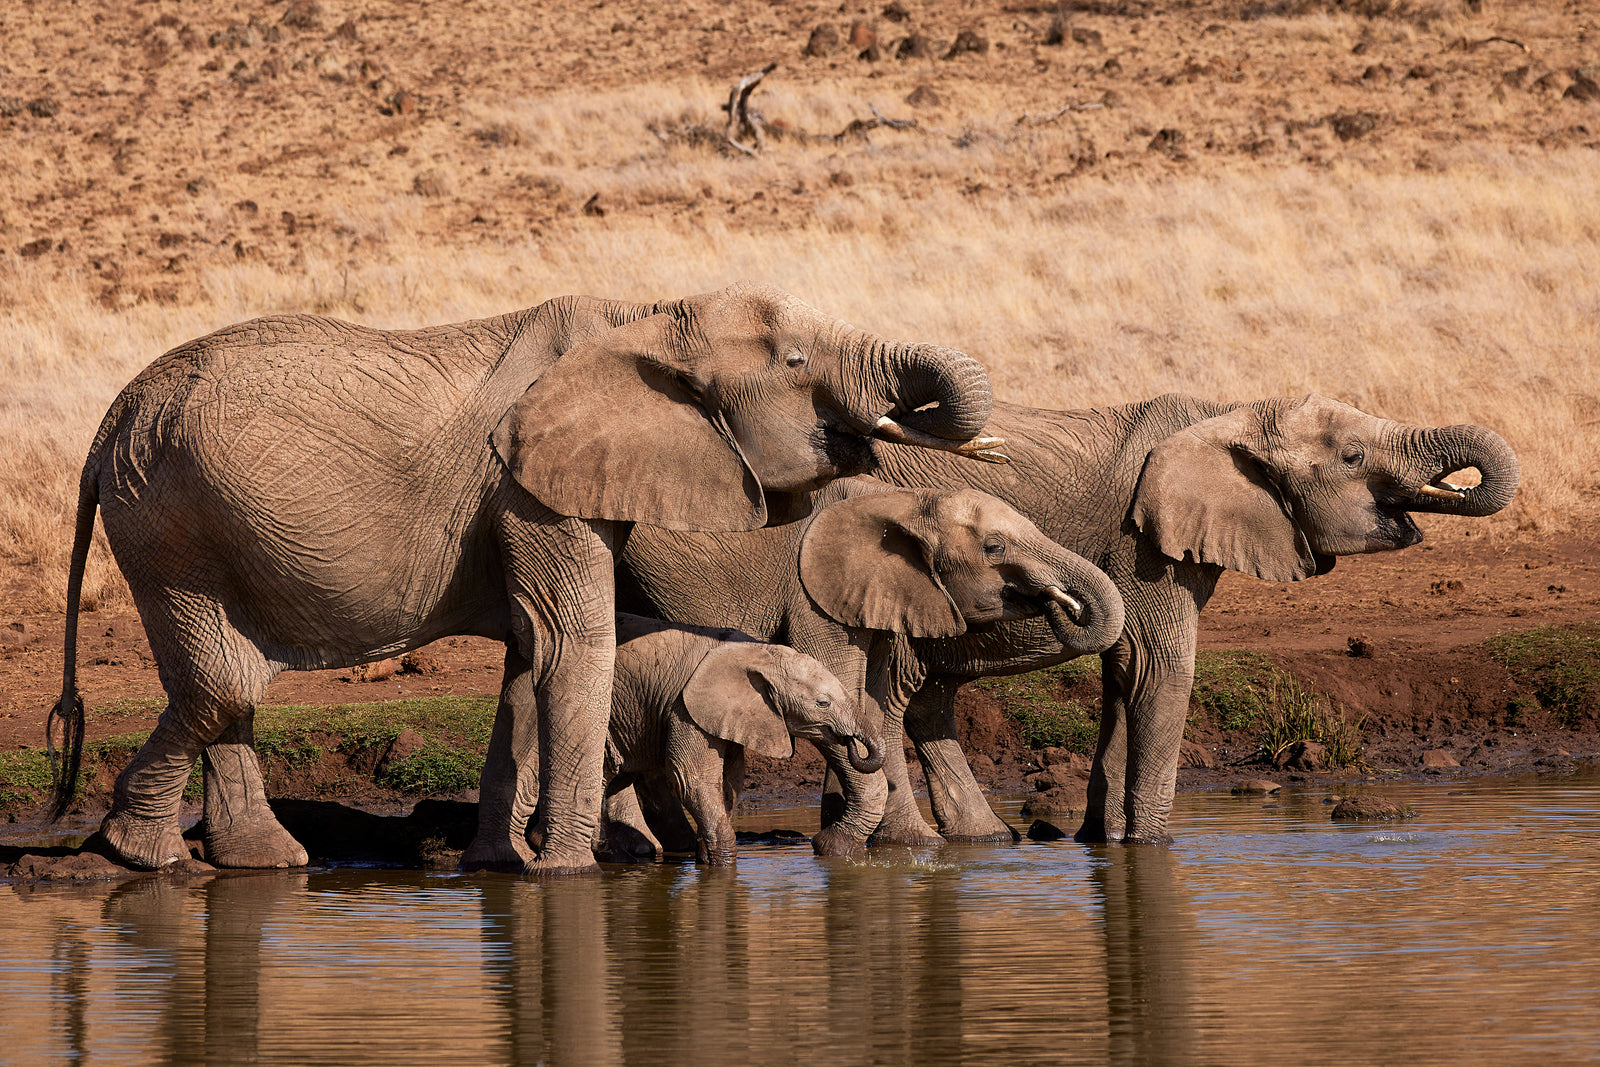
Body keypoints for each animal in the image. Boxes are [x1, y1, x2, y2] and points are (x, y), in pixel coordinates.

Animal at [597, 613, 870, 866]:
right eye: (823, 703)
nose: (851, 743)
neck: (760, 654)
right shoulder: (684, 708)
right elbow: (690, 779)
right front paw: (722, 866)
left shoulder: (730, 715)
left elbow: (729, 782)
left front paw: (706, 860)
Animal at [853, 392, 1519, 844]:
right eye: (1353, 456)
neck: (1230, 414)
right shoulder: (1145, 544)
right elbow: (1161, 667)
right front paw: (1152, 847)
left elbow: (1125, 676)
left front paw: (1103, 841)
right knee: (888, 694)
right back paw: (908, 843)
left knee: (927, 698)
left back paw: (982, 838)